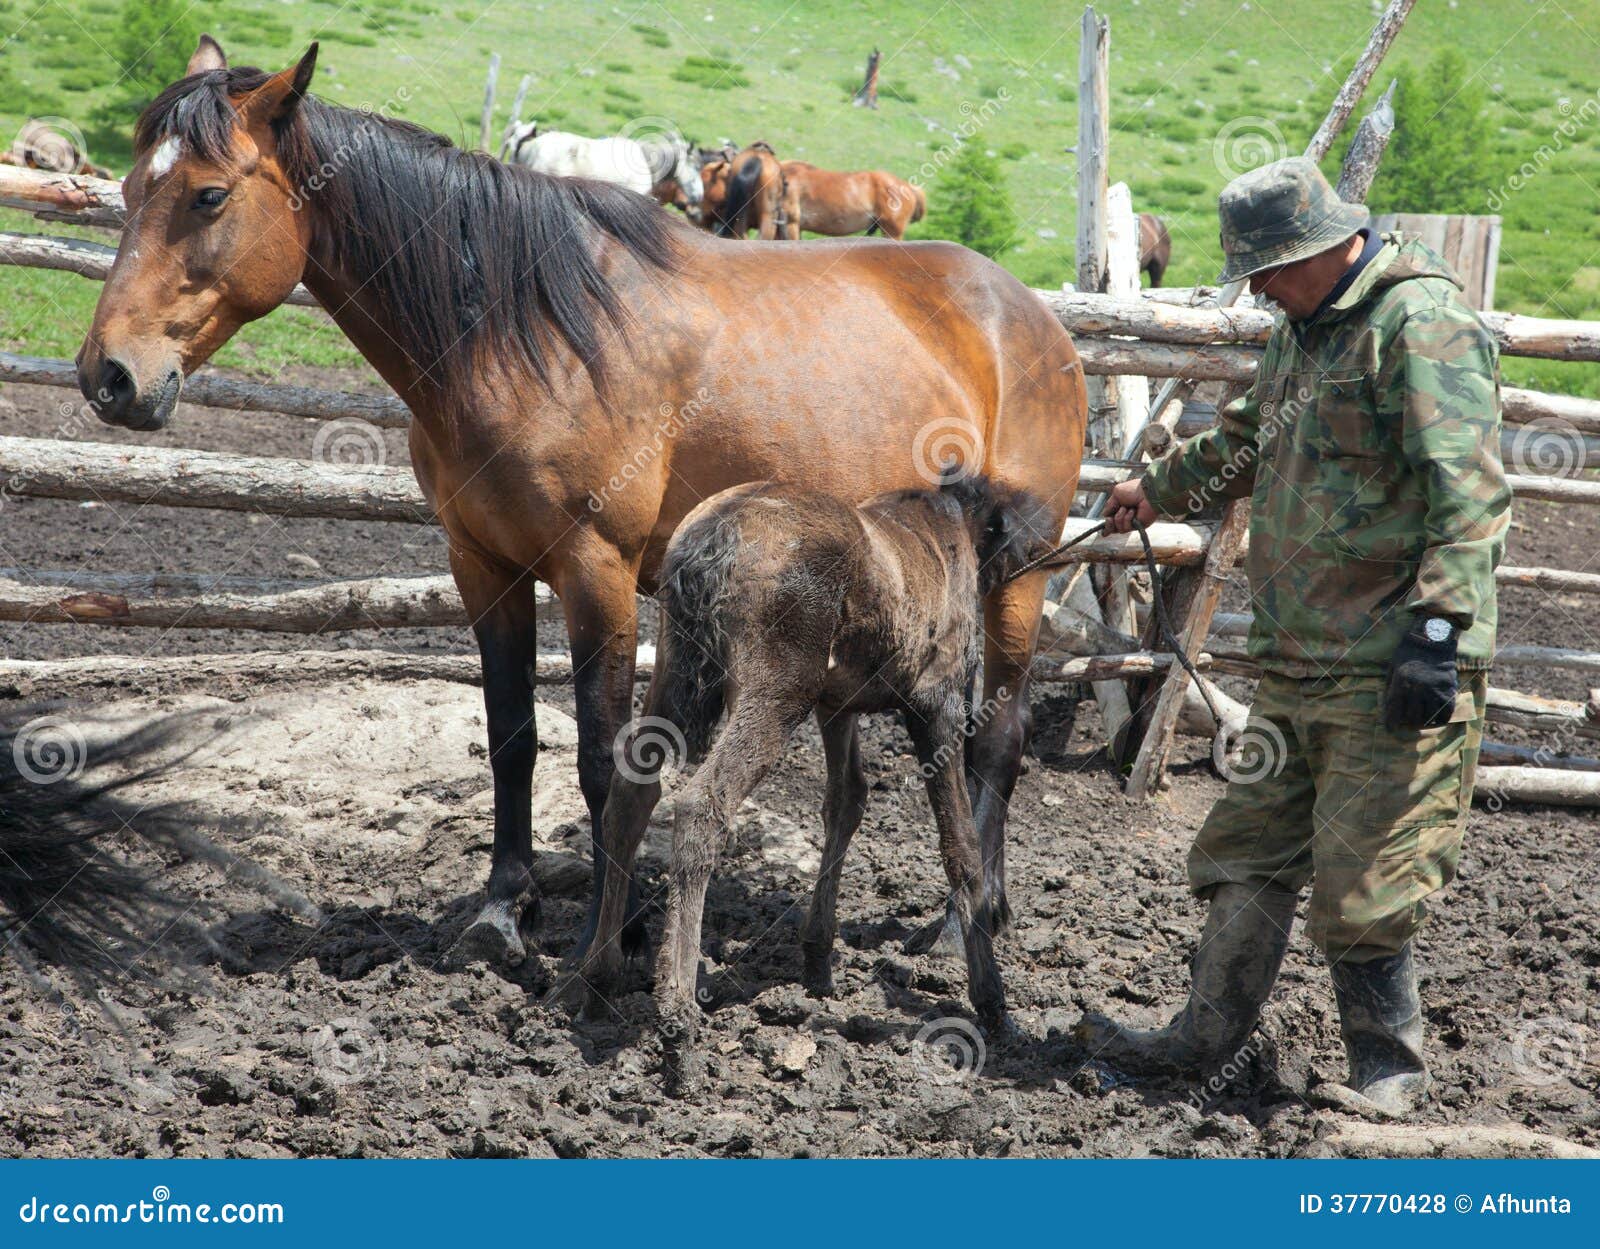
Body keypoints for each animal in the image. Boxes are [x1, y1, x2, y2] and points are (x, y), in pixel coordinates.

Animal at [569, 476, 1056, 1081]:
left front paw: (817, 960)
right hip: (775, 691)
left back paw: (599, 978)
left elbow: (846, 801)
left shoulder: (837, 702)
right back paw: (677, 1021)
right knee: (701, 803)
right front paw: (991, 1001)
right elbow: (961, 847)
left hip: (676, 670)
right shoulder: (936, 705)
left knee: (630, 796)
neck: (956, 529)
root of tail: (709, 541)